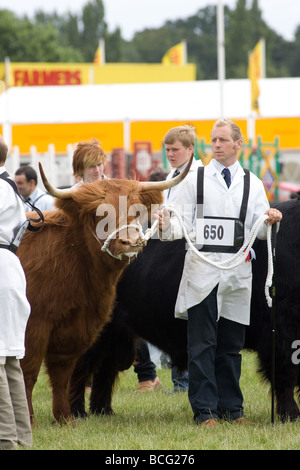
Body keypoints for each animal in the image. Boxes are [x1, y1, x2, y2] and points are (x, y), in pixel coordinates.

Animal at [71, 198, 300, 422]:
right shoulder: (281, 329)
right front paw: (291, 414)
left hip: (118, 338)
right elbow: (285, 372)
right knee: (79, 368)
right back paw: (76, 413)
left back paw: (103, 411)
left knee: (105, 369)